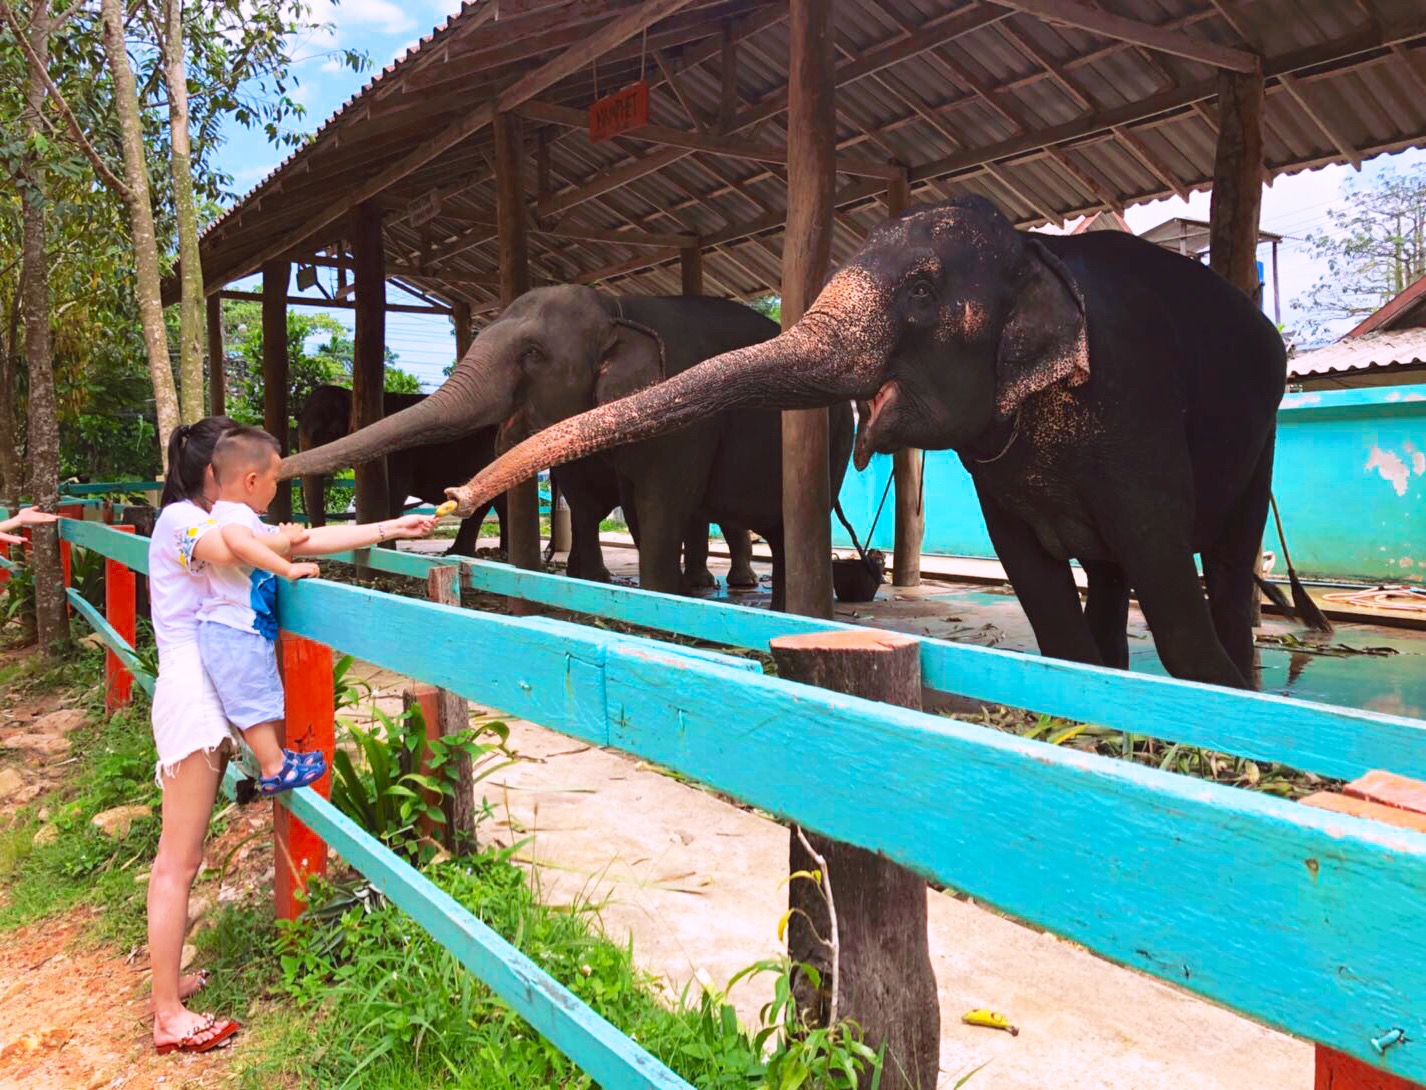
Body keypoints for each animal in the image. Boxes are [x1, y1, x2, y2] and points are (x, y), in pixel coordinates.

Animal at [283, 285, 849, 607]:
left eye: (532, 354)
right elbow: (595, 499)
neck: (620, 305)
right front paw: (591, 583)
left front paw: (659, 601)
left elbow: (660, 504)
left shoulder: (686, 419)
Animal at [450, 195, 1289, 690]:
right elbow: (1033, 575)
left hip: (1264, 436)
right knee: (1113, 571)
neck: (1036, 249)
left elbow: (1159, 555)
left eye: (920, 292)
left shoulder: (1136, 404)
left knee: (1221, 560)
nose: (455, 494)